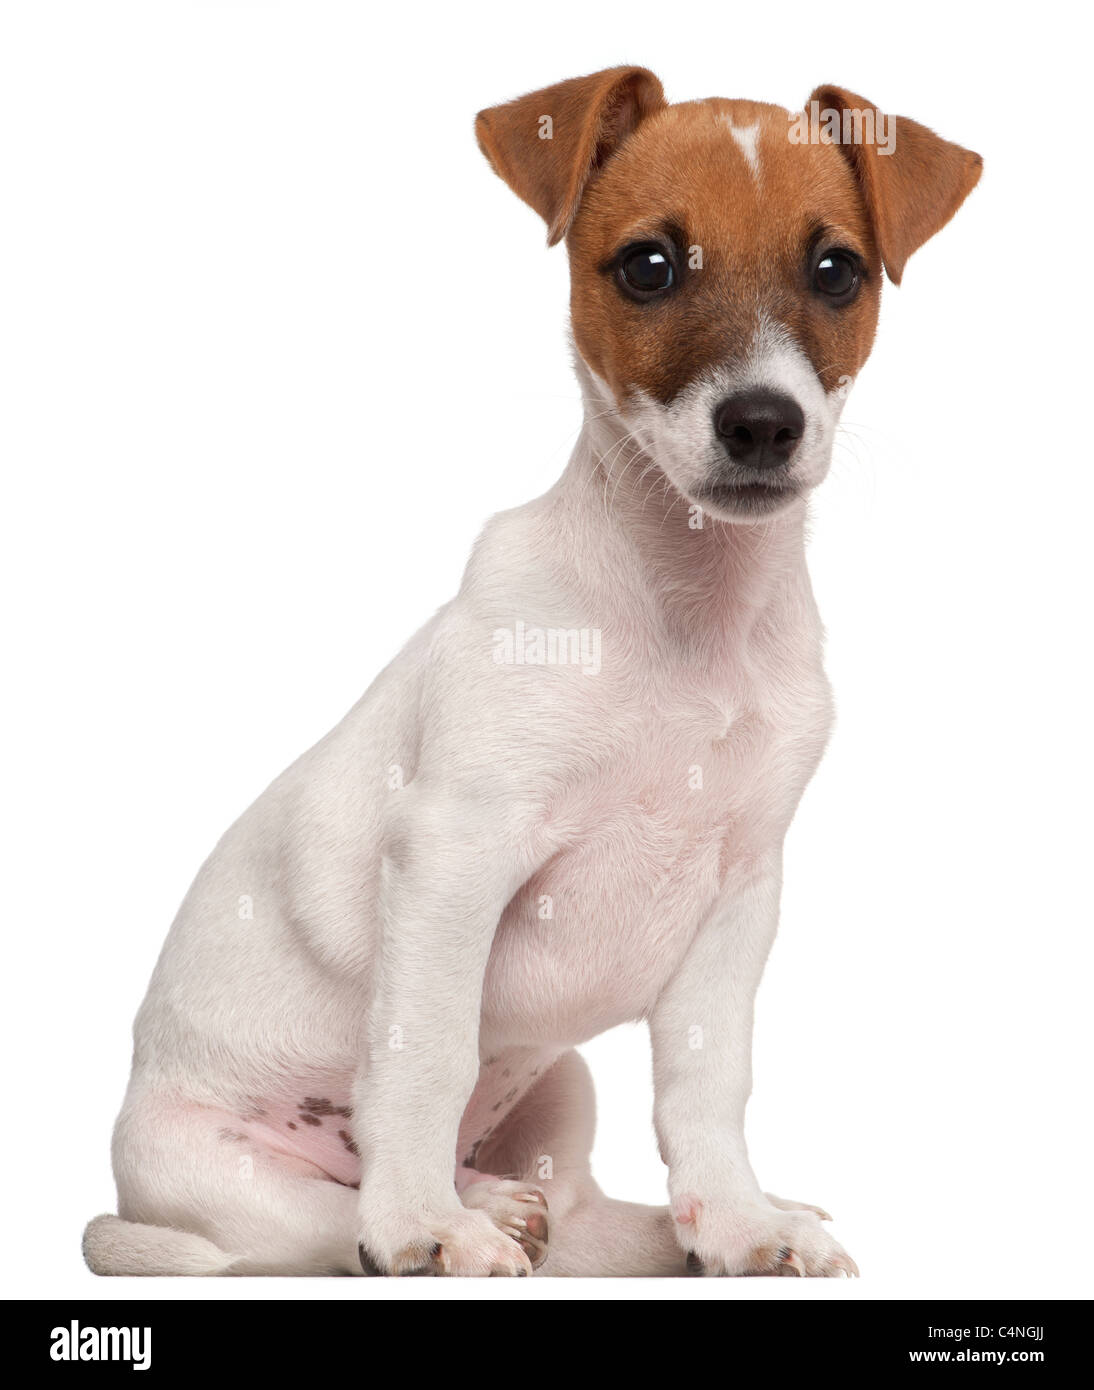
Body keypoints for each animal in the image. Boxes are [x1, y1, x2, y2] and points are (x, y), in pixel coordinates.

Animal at [85, 67, 984, 1278]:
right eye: (648, 265)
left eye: (835, 270)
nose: (762, 423)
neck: (685, 616)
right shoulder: (454, 853)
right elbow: (424, 1059)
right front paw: (417, 1227)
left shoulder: (740, 896)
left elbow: (706, 1088)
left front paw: (738, 1224)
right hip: (226, 1186)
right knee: (311, 1229)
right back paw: (452, 1212)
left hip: (563, 1088)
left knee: (579, 1215)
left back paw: (606, 1218)